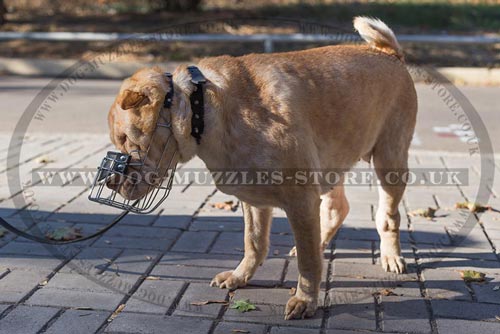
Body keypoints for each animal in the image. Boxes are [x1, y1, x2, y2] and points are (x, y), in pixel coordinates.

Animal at [106, 17, 418, 320]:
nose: (110, 181)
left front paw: (306, 299)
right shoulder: (254, 199)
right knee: (336, 209)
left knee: (388, 216)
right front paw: (240, 276)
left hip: (389, 162)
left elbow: (307, 263)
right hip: (332, 163)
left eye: (126, 139)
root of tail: (388, 53)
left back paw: (390, 255)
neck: (203, 108)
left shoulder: (301, 200)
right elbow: (254, 242)